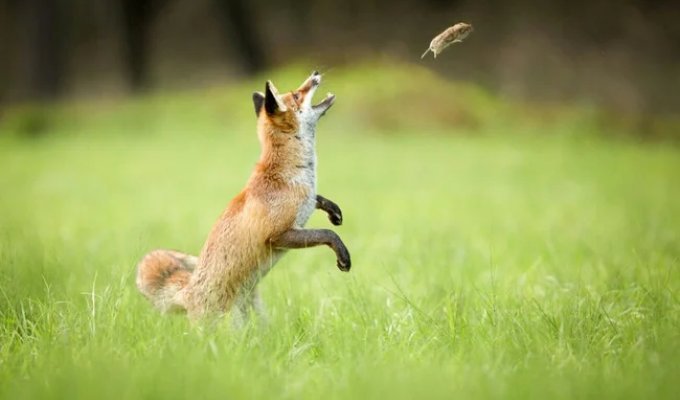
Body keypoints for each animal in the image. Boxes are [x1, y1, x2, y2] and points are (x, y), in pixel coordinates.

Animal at [136, 71, 350, 322]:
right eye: (297, 95)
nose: (316, 74)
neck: (291, 176)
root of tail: (188, 291)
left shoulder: (304, 200)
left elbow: (317, 199)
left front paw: (333, 210)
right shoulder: (278, 235)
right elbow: (328, 234)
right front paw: (343, 255)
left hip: (257, 314)